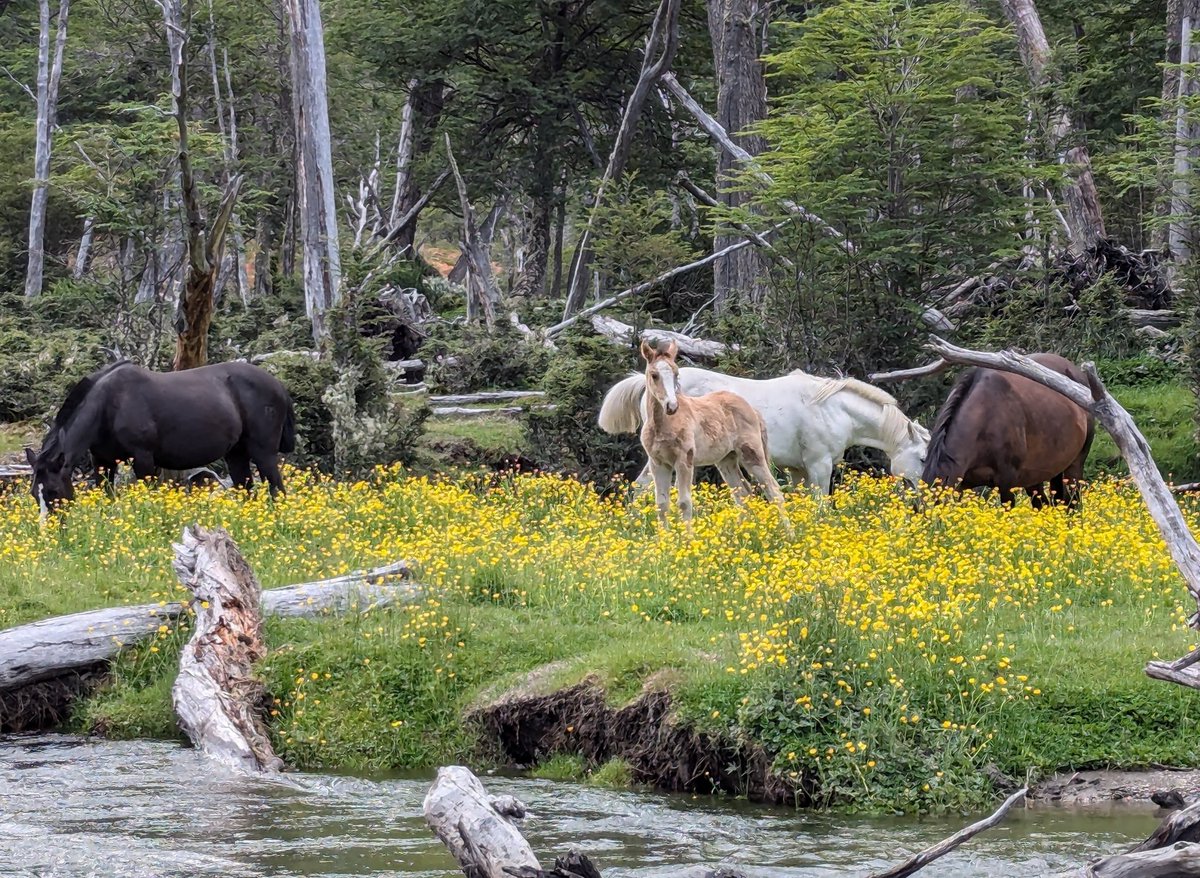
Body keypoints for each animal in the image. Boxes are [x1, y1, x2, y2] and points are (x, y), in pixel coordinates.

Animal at [25, 360, 296, 512]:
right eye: (34, 494)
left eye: (53, 492)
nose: (51, 532)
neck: (109, 404)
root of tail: (280, 386)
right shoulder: (103, 461)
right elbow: (107, 497)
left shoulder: (143, 459)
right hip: (236, 454)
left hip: (263, 452)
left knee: (278, 490)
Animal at [599, 364, 929, 495]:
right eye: (923, 457)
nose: (927, 491)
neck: (833, 408)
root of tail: (648, 384)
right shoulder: (819, 465)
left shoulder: (798, 470)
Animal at [637, 340, 790, 531]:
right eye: (654, 375)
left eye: (676, 374)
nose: (671, 406)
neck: (662, 425)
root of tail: (752, 409)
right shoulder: (658, 463)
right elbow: (662, 504)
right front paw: (665, 537)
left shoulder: (684, 460)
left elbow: (684, 502)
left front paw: (687, 537)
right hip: (726, 459)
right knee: (743, 493)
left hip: (752, 454)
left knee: (774, 491)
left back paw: (789, 534)